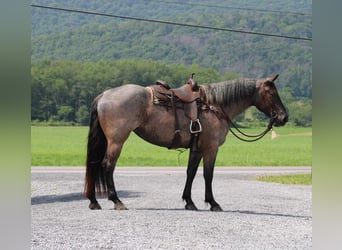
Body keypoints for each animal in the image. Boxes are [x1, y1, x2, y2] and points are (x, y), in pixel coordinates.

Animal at [84, 73, 288, 211]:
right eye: (271, 93)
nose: (284, 117)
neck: (215, 105)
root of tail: (104, 95)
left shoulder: (196, 149)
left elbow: (191, 173)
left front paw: (189, 202)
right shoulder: (211, 148)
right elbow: (208, 175)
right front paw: (213, 203)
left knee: (94, 164)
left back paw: (94, 201)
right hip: (116, 141)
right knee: (107, 165)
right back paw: (116, 201)